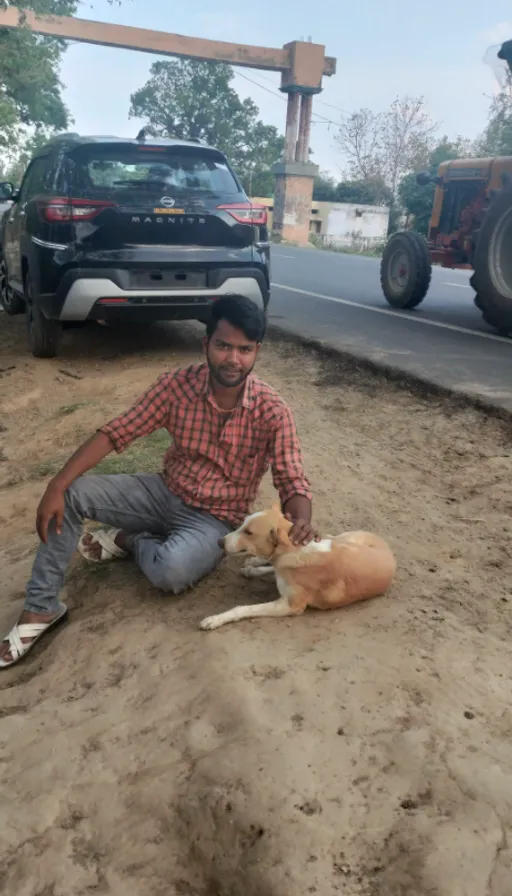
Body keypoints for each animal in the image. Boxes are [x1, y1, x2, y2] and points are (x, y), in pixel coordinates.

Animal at [199, 504, 396, 632]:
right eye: (242, 523)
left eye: (249, 532)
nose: (219, 542)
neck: (294, 550)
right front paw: (256, 565)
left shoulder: (291, 606)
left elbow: (243, 608)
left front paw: (215, 619)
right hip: (341, 538)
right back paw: (254, 565)